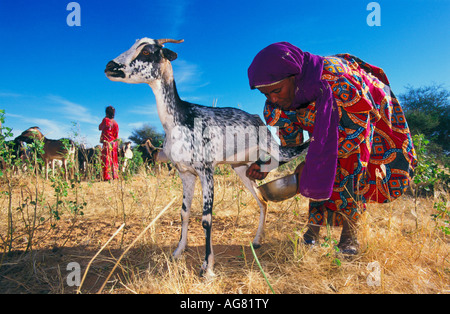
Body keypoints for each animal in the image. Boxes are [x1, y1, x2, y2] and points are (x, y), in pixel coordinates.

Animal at [105, 38, 310, 276]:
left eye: (147, 51)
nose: (110, 66)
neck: (180, 119)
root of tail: (256, 118)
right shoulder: (185, 173)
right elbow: (184, 213)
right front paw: (178, 251)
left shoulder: (206, 171)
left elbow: (206, 219)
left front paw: (207, 266)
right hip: (242, 169)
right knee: (263, 200)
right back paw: (257, 240)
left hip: (273, 148)